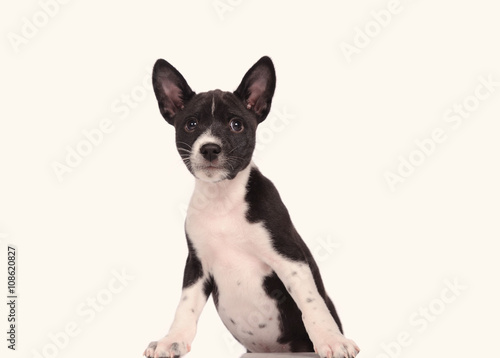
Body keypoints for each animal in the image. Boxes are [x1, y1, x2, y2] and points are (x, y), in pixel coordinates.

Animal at [145, 56, 360, 358]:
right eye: (191, 124)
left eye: (236, 125)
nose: (209, 148)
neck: (223, 199)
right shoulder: (197, 264)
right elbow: (185, 306)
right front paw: (171, 340)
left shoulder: (289, 257)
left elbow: (310, 302)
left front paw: (331, 339)